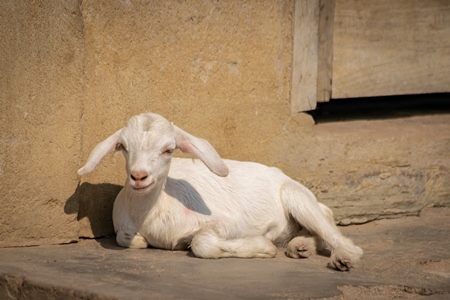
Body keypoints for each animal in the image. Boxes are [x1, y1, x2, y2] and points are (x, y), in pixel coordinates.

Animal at [78, 112, 362, 272]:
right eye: (123, 147)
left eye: (168, 149)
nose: (138, 176)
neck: (153, 212)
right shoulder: (125, 228)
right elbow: (128, 239)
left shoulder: (230, 222)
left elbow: (202, 243)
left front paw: (262, 247)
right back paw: (300, 247)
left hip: (297, 197)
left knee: (335, 234)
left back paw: (342, 258)